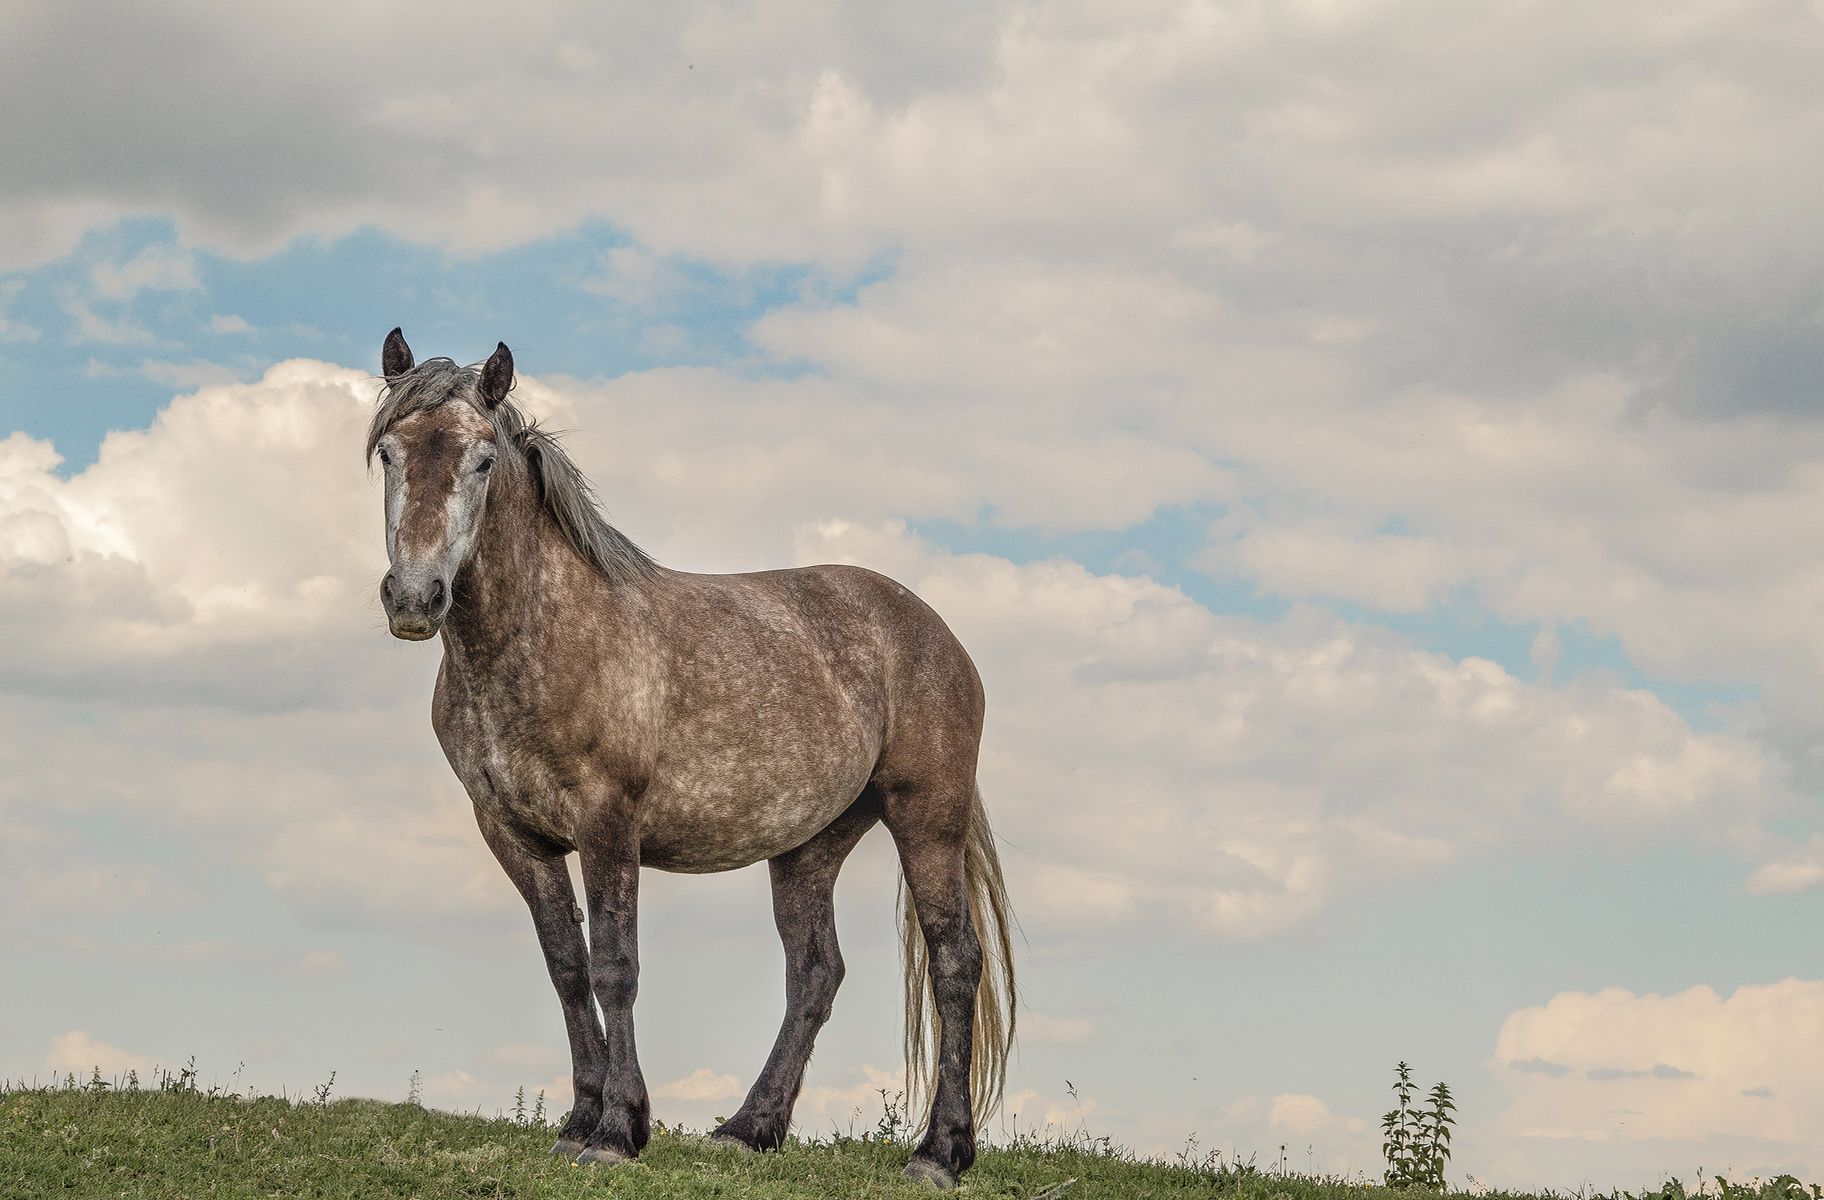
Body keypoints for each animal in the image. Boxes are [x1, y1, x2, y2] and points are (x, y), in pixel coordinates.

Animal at [362, 330, 1021, 1189]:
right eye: (389, 453)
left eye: (481, 460)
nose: (415, 596)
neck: (545, 633)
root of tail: (936, 632)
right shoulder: (512, 834)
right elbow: (566, 966)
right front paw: (578, 1123)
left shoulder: (608, 822)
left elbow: (615, 967)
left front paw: (617, 1131)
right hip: (810, 847)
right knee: (815, 973)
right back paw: (749, 1128)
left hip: (926, 818)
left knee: (953, 963)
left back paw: (940, 1152)